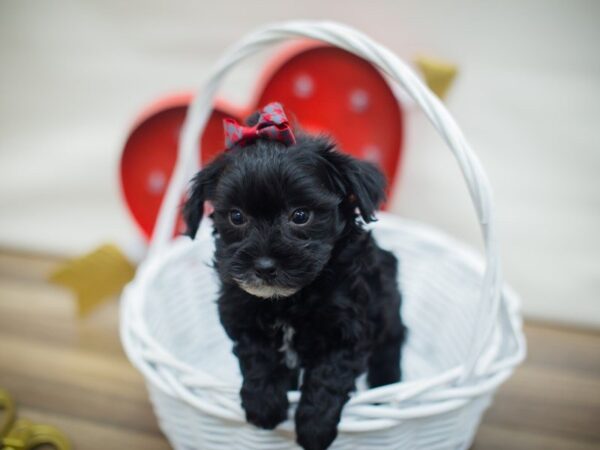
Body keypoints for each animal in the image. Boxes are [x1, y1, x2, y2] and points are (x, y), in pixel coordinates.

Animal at [185, 104, 406, 450]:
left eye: (300, 216)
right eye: (236, 216)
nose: (263, 265)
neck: (288, 301)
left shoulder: (348, 331)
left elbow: (328, 377)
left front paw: (314, 428)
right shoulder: (240, 313)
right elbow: (258, 357)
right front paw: (264, 406)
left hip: (389, 309)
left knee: (390, 350)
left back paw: (384, 392)